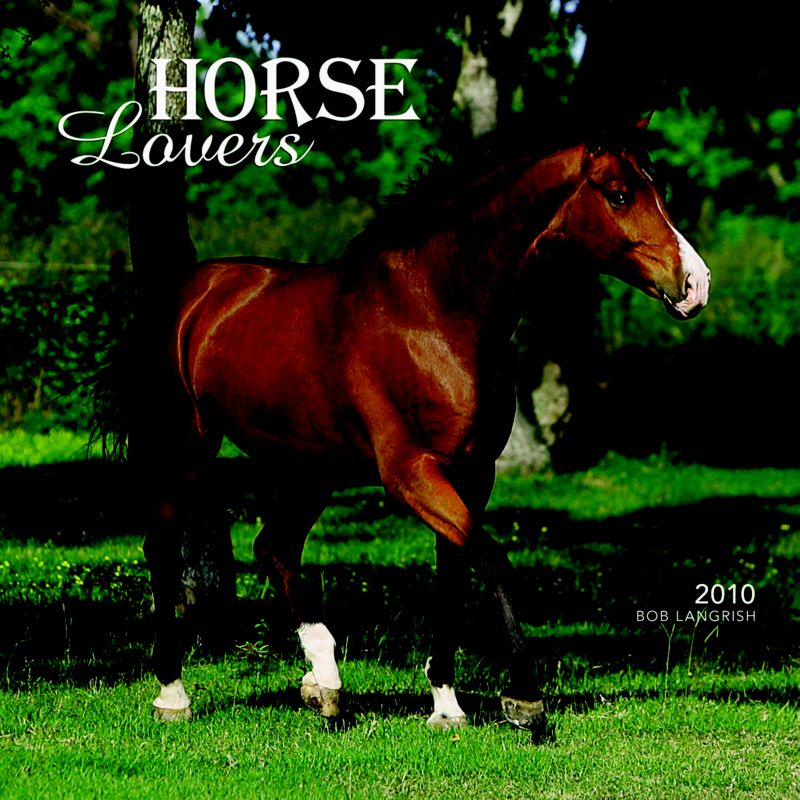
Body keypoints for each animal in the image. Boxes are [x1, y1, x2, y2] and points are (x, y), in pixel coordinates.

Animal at [135, 125, 710, 734]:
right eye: (620, 195)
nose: (695, 284)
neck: (435, 311)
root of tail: (191, 294)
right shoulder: (412, 474)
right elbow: (494, 560)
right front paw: (523, 699)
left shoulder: (472, 472)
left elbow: (453, 576)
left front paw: (447, 705)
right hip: (187, 448)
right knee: (164, 547)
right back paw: (173, 694)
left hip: (312, 469)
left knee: (275, 548)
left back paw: (324, 684)